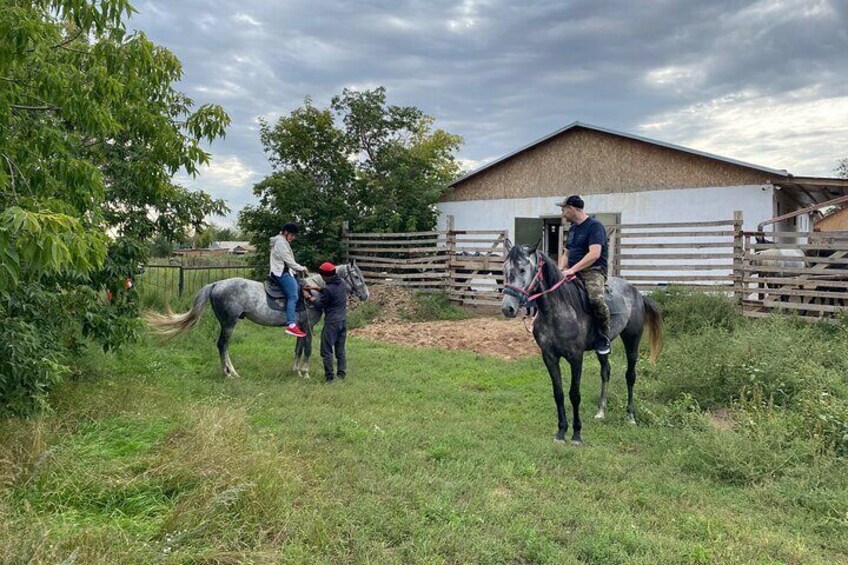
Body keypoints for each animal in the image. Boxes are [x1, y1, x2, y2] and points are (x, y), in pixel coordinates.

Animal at [147, 262, 368, 376]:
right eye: (357, 276)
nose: (366, 296)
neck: (312, 291)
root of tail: (216, 284)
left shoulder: (301, 326)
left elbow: (298, 347)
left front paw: (295, 369)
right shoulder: (308, 326)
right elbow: (307, 348)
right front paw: (304, 372)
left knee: (224, 345)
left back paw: (231, 371)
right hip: (229, 322)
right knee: (222, 345)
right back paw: (229, 373)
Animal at [500, 240, 664, 442]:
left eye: (522, 269)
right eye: (505, 269)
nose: (507, 308)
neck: (557, 311)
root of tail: (637, 293)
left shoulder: (576, 357)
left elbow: (574, 394)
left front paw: (576, 434)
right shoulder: (549, 357)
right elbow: (559, 393)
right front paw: (561, 431)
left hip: (632, 340)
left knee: (630, 376)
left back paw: (631, 417)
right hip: (603, 347)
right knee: (605, 372)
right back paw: (601, 412)